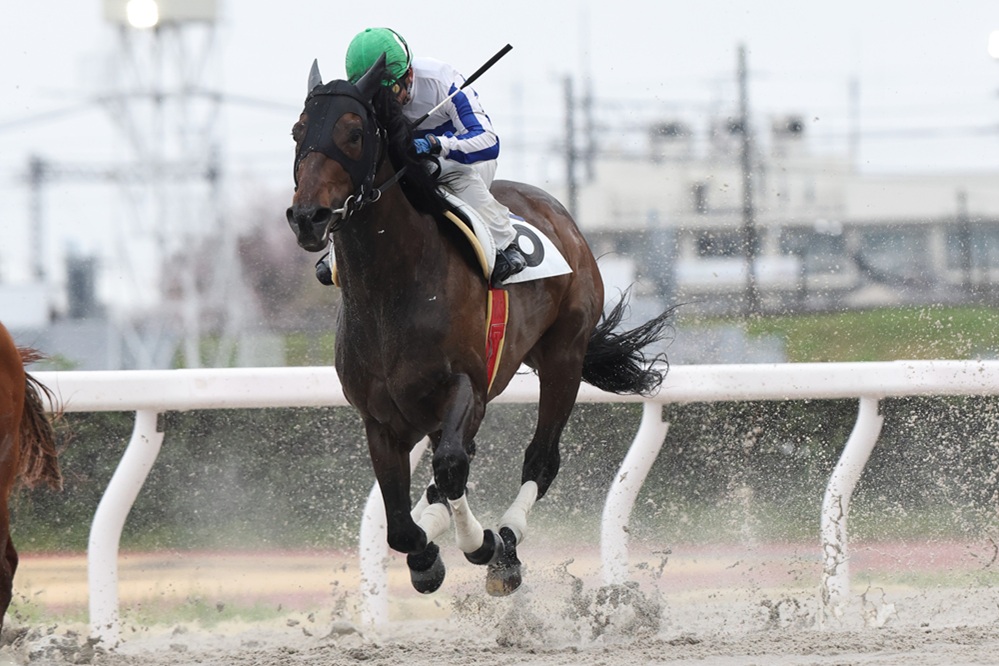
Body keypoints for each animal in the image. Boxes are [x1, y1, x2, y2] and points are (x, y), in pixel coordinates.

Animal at [286, 55, 674, 596]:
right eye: (298, 131)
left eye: (354, 132)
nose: (308, 217)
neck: (391, 290)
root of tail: (559, 212)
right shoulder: (379, 418)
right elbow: (401, 524)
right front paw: (426, 556)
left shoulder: (466, 384)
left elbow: (452, 470)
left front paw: (483, 545)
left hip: (563, 357)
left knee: (538, 459)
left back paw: (506, 542)